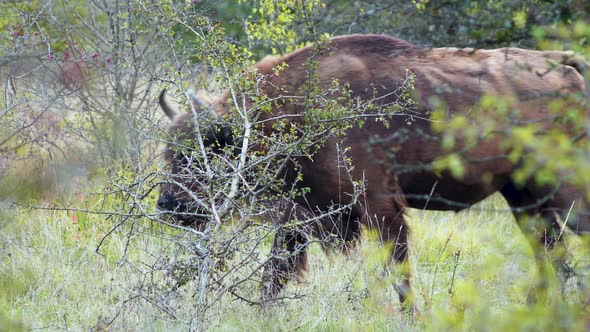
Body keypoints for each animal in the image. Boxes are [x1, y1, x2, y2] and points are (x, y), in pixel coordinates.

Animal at [158, 33, 590, 308]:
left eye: (203, 152)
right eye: (169, 152)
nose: (168, 206)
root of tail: (565, 67)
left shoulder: (380, 206)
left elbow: (399, 271)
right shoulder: (301, 213)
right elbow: (275, 270)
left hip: (562, 191)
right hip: (522, 195)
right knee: (550, 251)